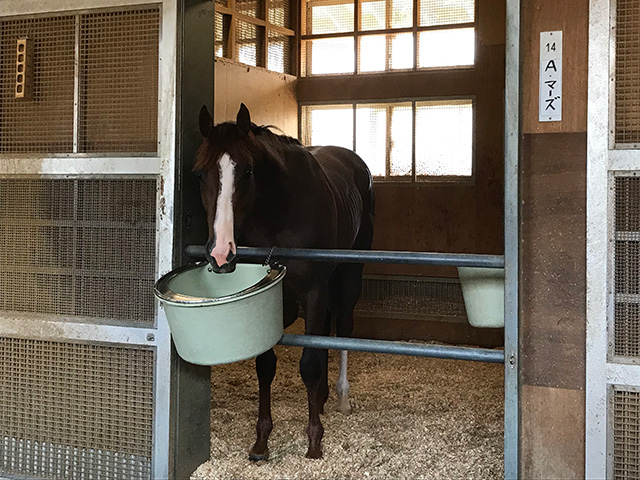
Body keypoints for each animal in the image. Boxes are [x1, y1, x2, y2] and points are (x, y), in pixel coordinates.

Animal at [195, 103, 376, 460]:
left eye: (248, 171)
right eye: (201, 173)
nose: (220, 253)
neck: (280, 213)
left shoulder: (313, 291)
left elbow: (308, 365)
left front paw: (314, 441)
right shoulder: (268, 296)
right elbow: (265, 364)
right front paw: (261, 441)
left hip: (350, 271)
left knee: (343, 326)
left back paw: (341, 398)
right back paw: (321, 398)